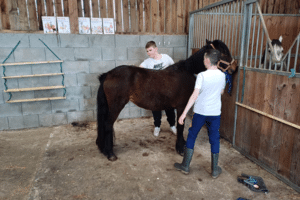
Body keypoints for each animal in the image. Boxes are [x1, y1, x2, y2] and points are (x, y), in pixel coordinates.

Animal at [96, 39, 237, 161]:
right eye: (223, 52)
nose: (235, 68)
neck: (187, 71)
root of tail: (108, 74)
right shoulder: (181, 107)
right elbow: (180, 125)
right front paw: (180, 148)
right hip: (116, 106)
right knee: (108, 124)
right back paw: (110, 153)